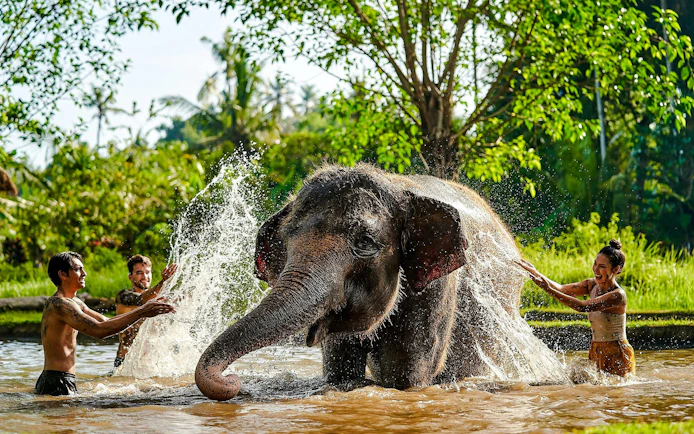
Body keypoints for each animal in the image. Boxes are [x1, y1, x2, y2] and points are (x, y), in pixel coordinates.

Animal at [195, 164, 559, 401]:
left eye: (366, 242)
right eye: (286, 239)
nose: (233, 381)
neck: (398, 186)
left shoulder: (438, 288)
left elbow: (406, 374)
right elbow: (342, 368)